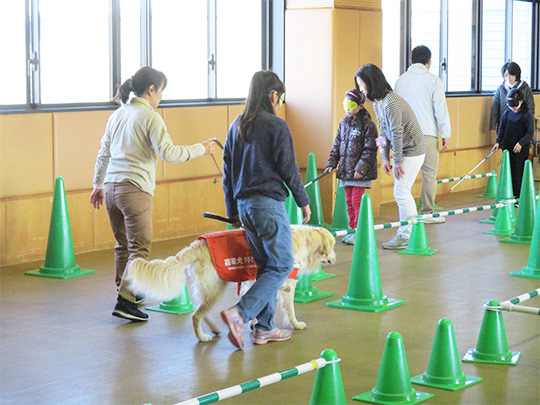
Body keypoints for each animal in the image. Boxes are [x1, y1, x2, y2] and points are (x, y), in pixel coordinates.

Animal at [127, 224, 338, 340]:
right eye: (333, 246)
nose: (335, 258)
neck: (307, 241)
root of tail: (198, 243)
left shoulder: (254, 281)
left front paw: (253, 324)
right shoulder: (286, 283)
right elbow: (290, 308)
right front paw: (295, 324)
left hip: (210, 288)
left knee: (202, 311)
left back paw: (214, 328)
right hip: (215, 287)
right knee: (196, 315)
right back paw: (202, 337)